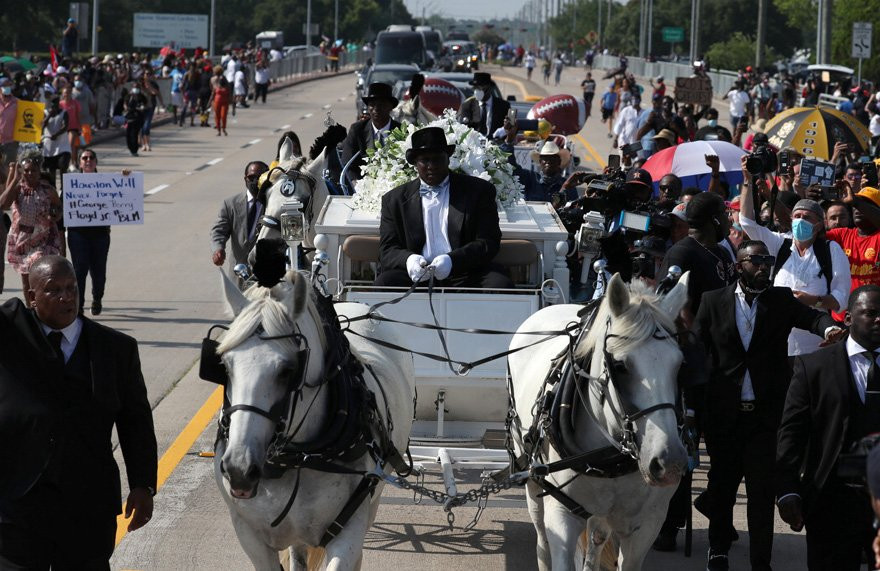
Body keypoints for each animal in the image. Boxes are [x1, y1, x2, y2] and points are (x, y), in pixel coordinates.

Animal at [216, 270, 416, 568]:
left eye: (288, 371)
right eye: (225, 365)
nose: (239, 469)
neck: (296, 457)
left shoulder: (349, 528)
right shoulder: (248, 533)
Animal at [508, 274, 696, 571]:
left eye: (680, 365)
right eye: (620, 366)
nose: (670, 463)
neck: (609, 458)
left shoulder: (647, 525)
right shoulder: (562, 515)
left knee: (596, 536)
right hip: (531, 480)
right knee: (541, 538)